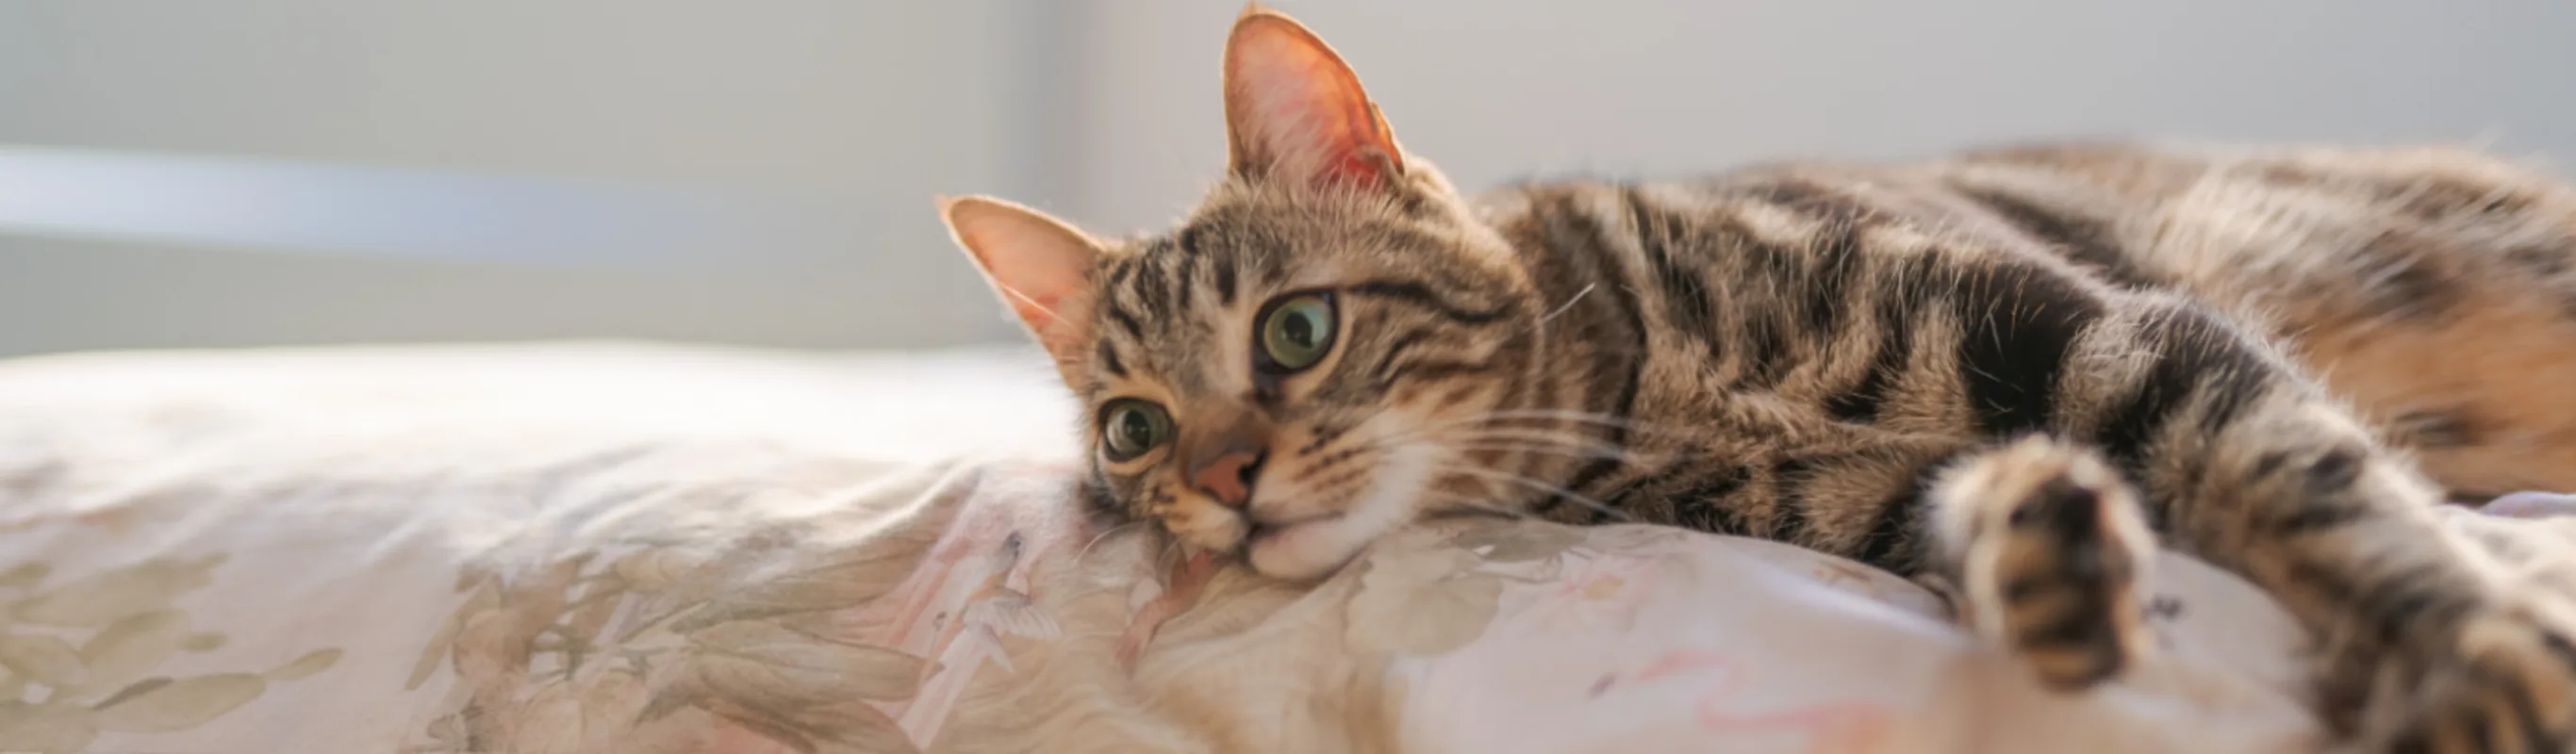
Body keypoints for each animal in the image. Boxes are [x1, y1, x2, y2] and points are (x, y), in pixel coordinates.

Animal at [937, 4, 2576, 746]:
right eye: (1133, 432)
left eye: (1294, 331)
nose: (1221, 483)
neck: (1626, 393)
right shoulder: (1851, 504)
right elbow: (1979, 508)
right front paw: (2047, 547)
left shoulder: (2111, 334)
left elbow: (2317, 484)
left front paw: (2469, 649)